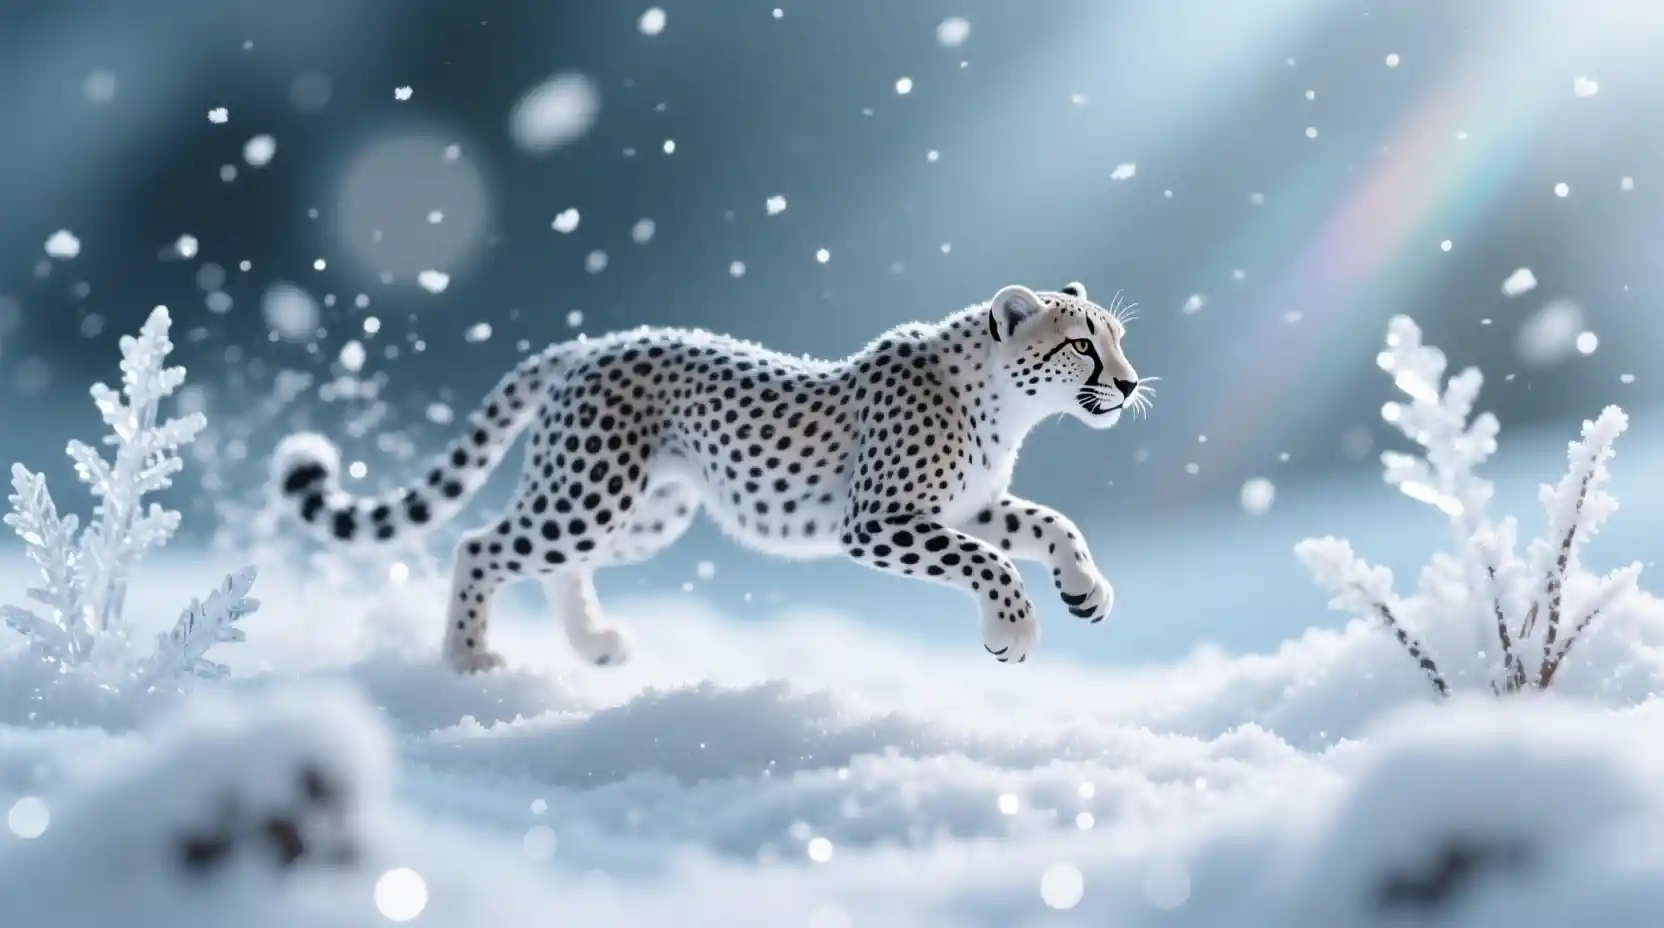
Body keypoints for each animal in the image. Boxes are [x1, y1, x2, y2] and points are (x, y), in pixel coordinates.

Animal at [272, 281, 1151, 673]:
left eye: (1116, 338)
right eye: (1082, 344)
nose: (1132, 383)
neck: (1001, 400)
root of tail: (590, 343)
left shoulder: (968, 505)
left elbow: (1048, 524)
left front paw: (1086, 589)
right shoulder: (877, 521)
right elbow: (992, 561)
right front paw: (1012, 629)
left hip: (640, 514)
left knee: (557, 564)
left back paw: (592, 643)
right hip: (589, 496)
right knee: (481, 544)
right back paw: (467, 656)